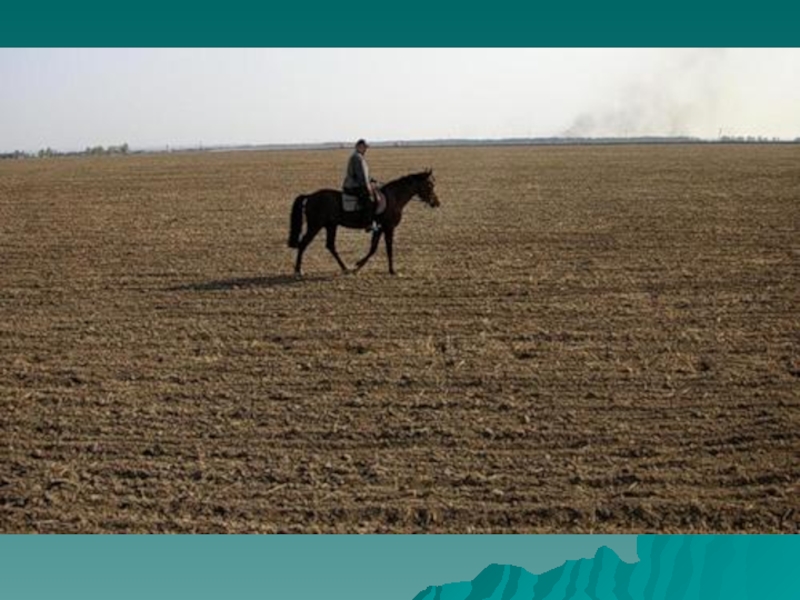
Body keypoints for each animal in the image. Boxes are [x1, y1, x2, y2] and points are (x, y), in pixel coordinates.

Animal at [286, 166, 438, 274]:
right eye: (430, 185)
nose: (436, 203)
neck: (394, 198)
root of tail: (310, 196)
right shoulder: (388, 227)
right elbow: (388, 247)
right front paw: (392, 270)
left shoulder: (379, 228)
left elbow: (373, 248)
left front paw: (358, 266)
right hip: (315, 226)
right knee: (304, 244)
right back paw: (298, 270)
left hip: (331, 225)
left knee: (330, 245)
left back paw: (345, 268)